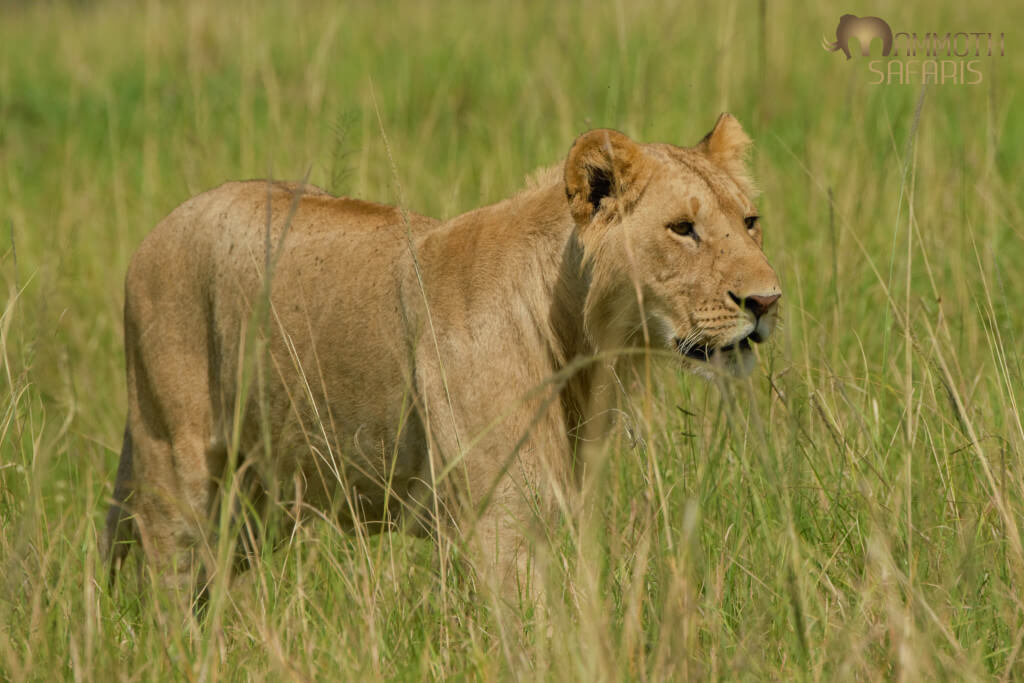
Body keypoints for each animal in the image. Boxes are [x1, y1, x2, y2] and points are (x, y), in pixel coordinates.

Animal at [102, 114, 781, 605]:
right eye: (682, 229)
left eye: (750, 222)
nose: (767, 301)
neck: (582, 344)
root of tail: (159, 228)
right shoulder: (498, 520)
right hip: (174, 463)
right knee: (170, 581)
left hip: (258, 492)